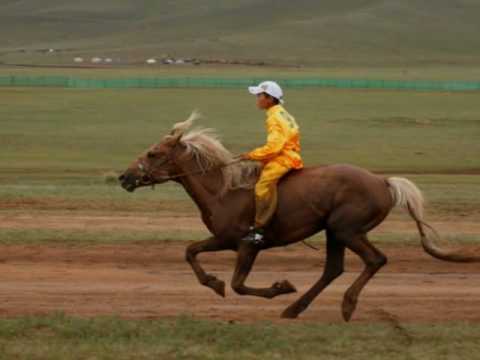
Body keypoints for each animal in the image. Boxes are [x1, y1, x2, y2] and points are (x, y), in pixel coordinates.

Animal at [118, 112, 478, 320]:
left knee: (375, 260)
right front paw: (214, 283)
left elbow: (238, 284)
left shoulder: (246, 244)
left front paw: (280, 287)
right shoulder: (222, 239)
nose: (124, 177)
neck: (223, 189)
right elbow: (190, 251)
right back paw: (295, 309)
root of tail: (384, 182)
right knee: (334, 268)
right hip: (334, 232)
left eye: (153, 153)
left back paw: (345, 305)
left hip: (347, 230)